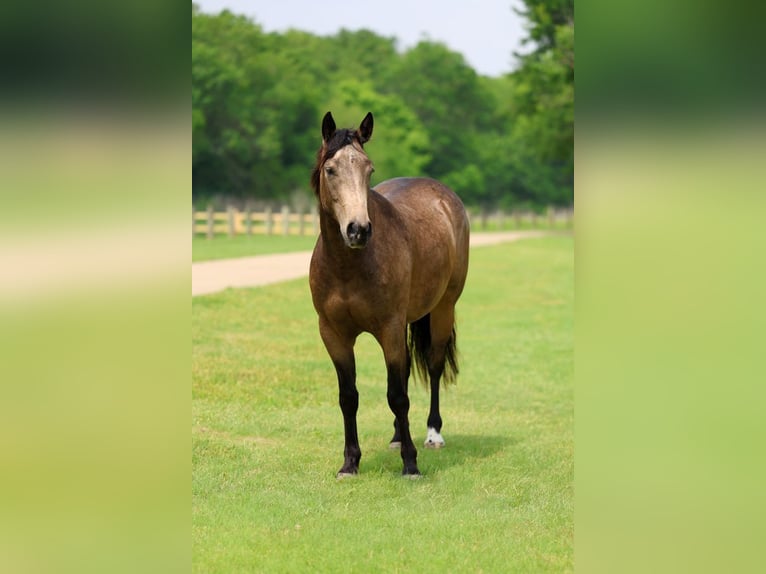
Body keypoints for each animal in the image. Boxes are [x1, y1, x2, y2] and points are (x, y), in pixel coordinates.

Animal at [309, 111, 470, 477]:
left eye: (369, 169)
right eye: (330, 169)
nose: (358, 230)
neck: (348, 267)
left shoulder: (389, 328)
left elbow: (397, 395)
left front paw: (410, 463)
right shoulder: (333, 334)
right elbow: (348, 396)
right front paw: (350, 463)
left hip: (443, 308)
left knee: (434, 365)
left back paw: (433, 434)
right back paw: (397, 436)